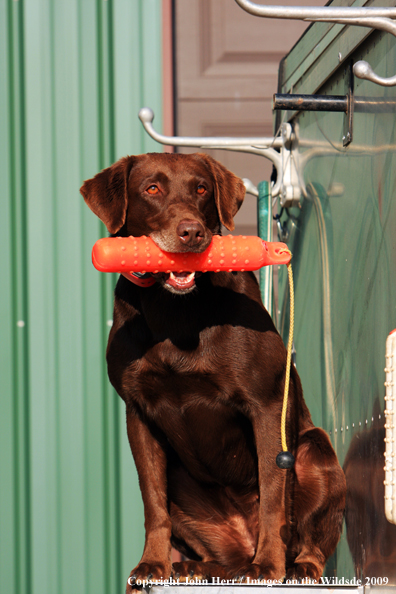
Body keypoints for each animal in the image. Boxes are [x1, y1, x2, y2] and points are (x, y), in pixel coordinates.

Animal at [81, 151, 346, 588]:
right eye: (151, 188)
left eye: (201, 189)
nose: (192, 232)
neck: (175, 313)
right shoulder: (137, 413)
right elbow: (153, 505)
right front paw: (152, 564)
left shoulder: (266, 404)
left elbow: (273, 495)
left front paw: (268, 566)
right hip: (182, 481)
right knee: (219, 555)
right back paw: (196, 566)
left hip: (315, 450)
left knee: (308, 538)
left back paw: (294, 566)